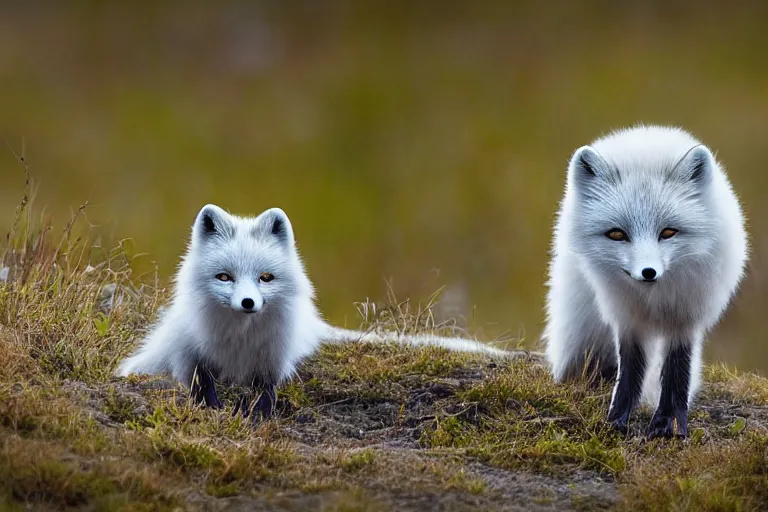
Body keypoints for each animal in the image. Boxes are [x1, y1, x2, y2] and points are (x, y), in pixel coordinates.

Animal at [117, 203, 508, 420]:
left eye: (266, 278)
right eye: (225, 277)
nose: (248, 303)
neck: (239, 341)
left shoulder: (271, 360)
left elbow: (265, 393)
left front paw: (259, 419)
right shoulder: (191, 354)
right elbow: (203, 386)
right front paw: (213, 411)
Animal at [544, 126, 752, 438]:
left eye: (668, 232)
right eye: (617, 234)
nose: (648, 272)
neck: (655, 300)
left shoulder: (685, 317)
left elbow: (677, 371)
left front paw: (670, 424)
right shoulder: (626, 318)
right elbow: (630, 371)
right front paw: (617, 420)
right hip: (580, 333)